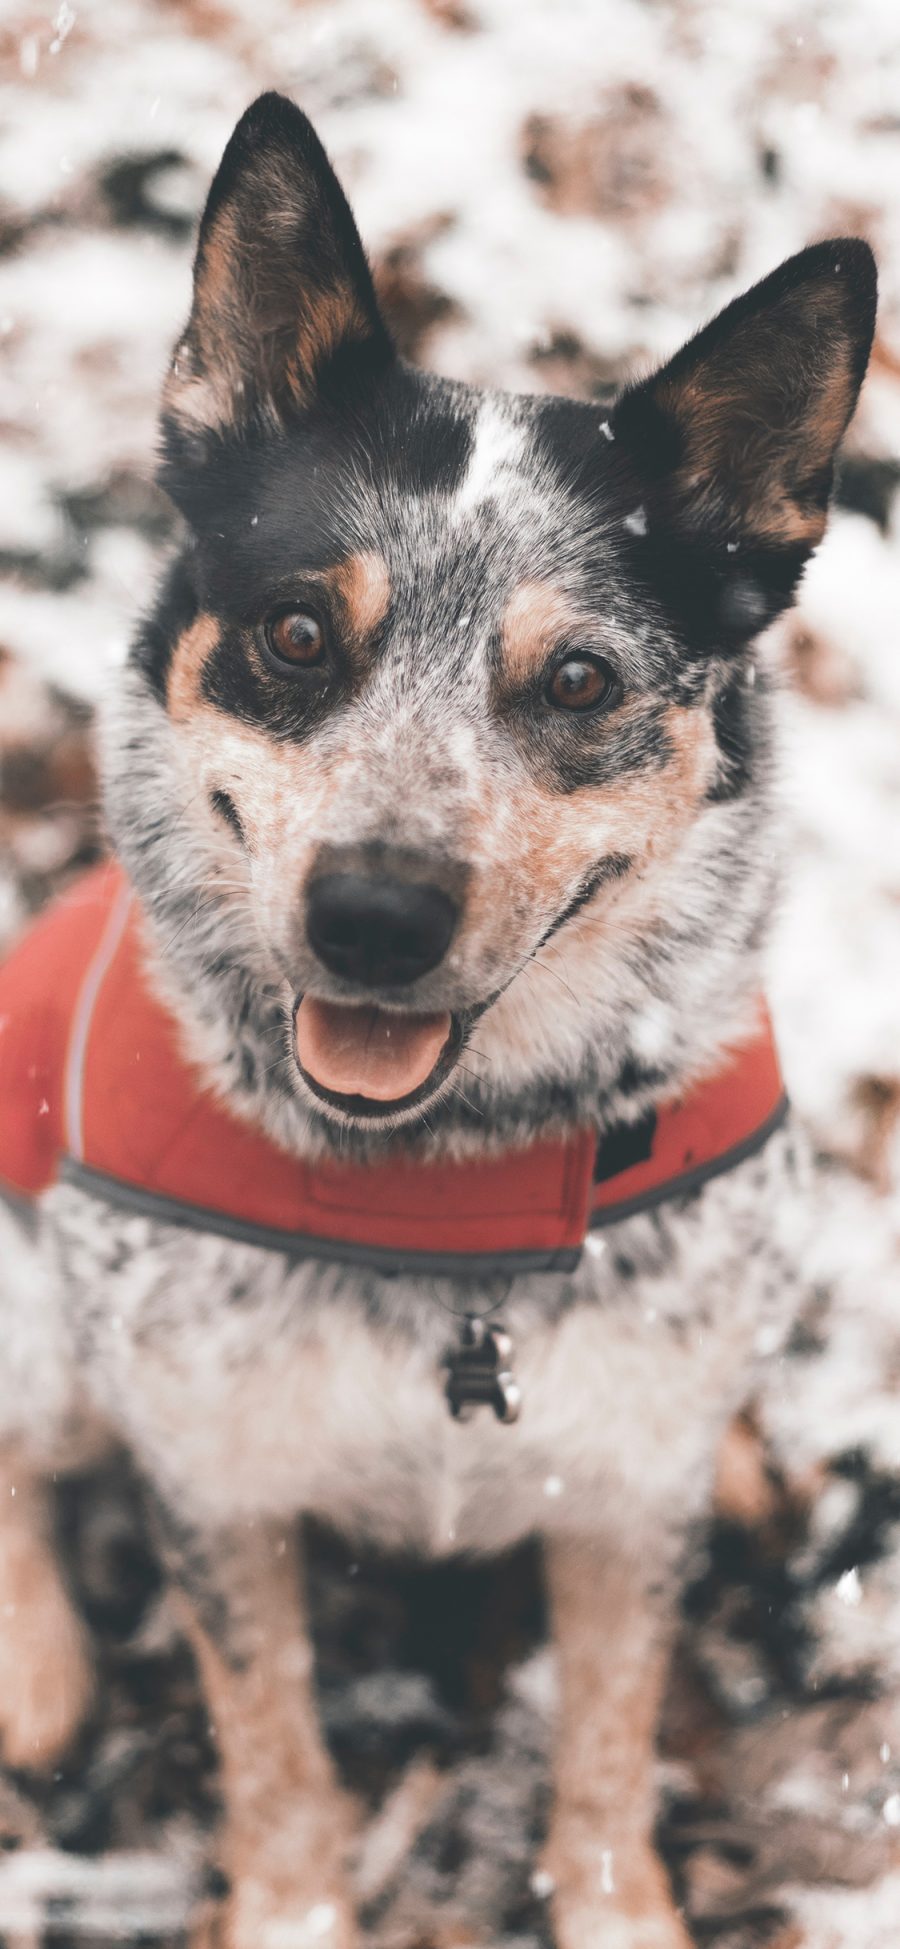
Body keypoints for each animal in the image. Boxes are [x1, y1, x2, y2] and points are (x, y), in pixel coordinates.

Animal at [0, 87, 876, 1949]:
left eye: (580, 679)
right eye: (294, 632)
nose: (375, 916)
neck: (448, 1195)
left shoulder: (624, 1506)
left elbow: (609, 1745)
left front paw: (621, 1912)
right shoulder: (216, 1481)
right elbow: (271, 1746)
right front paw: (289, 1908)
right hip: (38, 1314)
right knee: (20, 1448)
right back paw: (35, 1662)